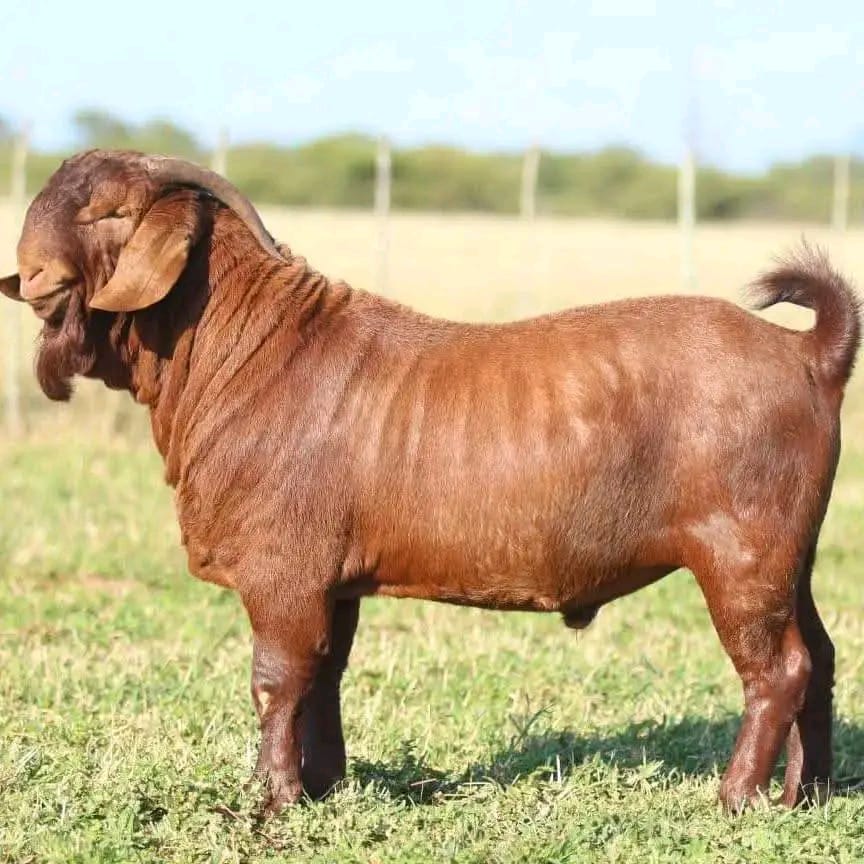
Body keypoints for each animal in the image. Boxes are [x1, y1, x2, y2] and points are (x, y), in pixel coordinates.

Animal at [1, 150, 859, 814]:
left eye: (111, 211)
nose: (33, 276)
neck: (243, 350)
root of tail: (807, 354)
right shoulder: (333, 579)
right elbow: (325, 675)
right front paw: (324, 786)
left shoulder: (283, 572)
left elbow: (276, 680)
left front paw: (271, 799)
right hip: (792, 557)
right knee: (819, 658)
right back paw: (804, 794)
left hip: (741, 554)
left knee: (777, 670)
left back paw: (735, 798)